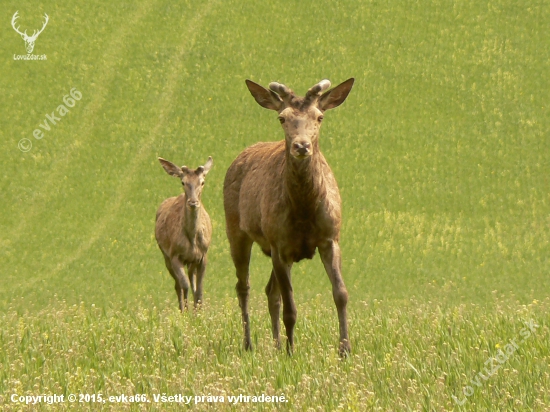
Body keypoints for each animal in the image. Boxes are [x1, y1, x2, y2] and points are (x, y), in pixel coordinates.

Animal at [157, 156, 216, 310]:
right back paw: (182, 309)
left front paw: (199, 313)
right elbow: (184, 285)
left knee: (192, 282)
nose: (193, 202)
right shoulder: (174, 255)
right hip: (166, 256)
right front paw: (186, 312)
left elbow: (199, 289)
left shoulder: (203, 256)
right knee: (178, 285)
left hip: (191, 261)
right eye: (183, 182)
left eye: (202, 182)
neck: (192, 239)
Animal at [226, 79, 356, 356]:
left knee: (270, 291)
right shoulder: (279, 245)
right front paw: (290, 353)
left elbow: (341, 294)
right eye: (282, 118)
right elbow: (291, 308)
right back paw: (249, 344)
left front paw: (345, 350)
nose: (301, 146)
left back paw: (275, 344)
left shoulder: (331, 238)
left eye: (319, 116)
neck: (304, 212)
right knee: (244, 287)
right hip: (236, 230)